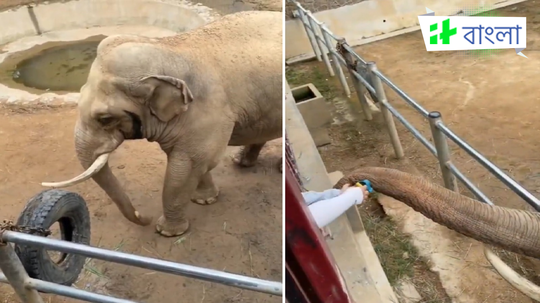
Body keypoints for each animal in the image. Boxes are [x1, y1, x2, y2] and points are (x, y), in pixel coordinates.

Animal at [42, 11, 282, 238]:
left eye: (105, 119)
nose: (144, 217)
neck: (167, 47)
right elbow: (197, 163)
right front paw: (204, 200)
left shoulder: (209, 113)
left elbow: (188, 165)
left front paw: (167, 231)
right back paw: (241, 162)